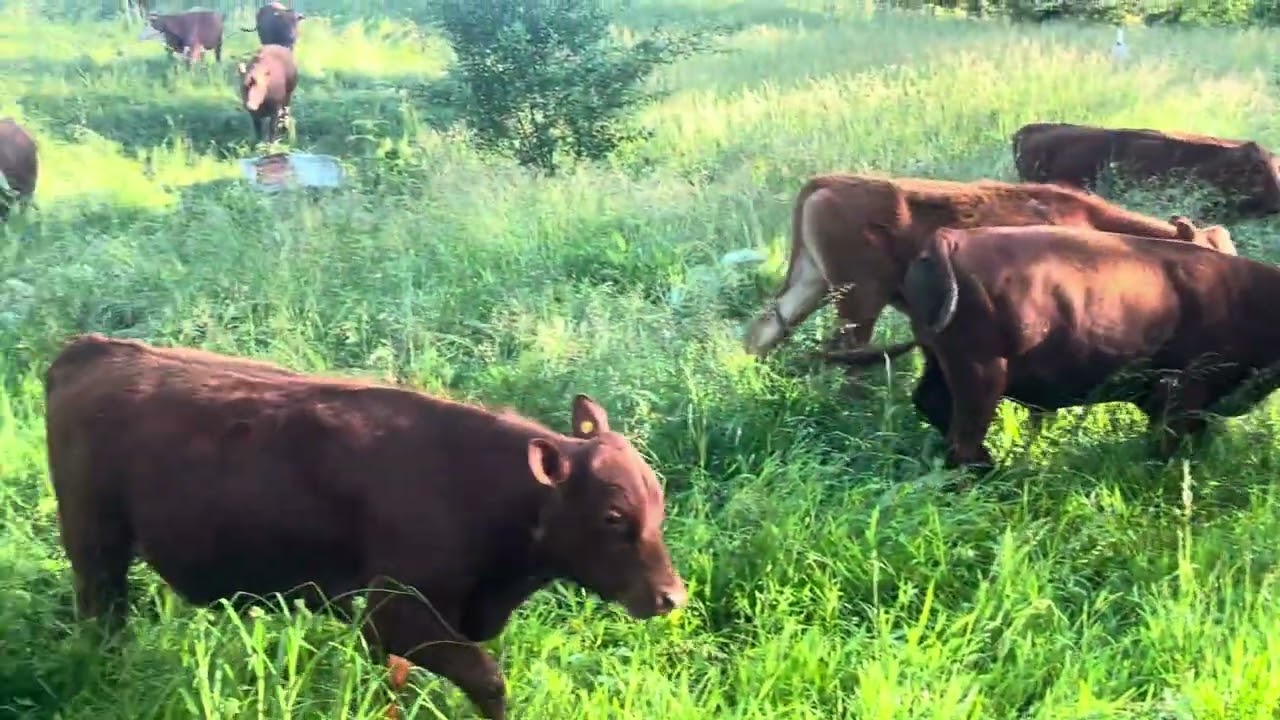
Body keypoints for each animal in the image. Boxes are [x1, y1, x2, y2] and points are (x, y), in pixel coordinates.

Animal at [44, 333, 687, 720]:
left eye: (659, 503)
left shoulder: (391, 623)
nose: (671, 597)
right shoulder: (394, 608)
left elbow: (394, 684)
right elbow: (488, 678)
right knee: (102, 619)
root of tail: (96, 348)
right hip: (95, 546)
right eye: (612, 516)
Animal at [824, 224, 1280, 472]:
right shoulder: (1182, 392)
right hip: (981, 372)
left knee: (932, 404)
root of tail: (947, 239)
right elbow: (1170, 442)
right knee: (962, 434)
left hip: (941, 361)